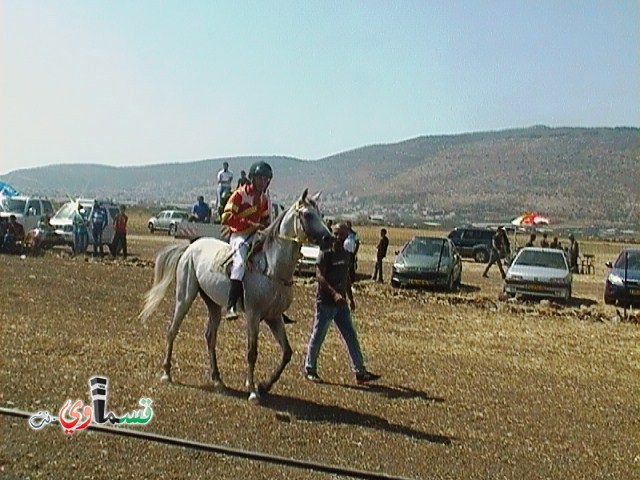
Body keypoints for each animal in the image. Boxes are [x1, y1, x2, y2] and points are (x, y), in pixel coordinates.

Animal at [139, 189, 330, 404]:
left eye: (321, 214)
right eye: (307, 214)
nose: (329, 238)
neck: (272, 269)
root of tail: (190, 248)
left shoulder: (274, 317)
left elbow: (286, 353)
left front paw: (264, 386)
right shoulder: (253, 315)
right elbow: (252, 352)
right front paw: (253, 391)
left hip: (213, 303)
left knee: (210, 336)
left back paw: (217, 379)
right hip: (184, 297)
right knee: (172, 330)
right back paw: (166, 373)